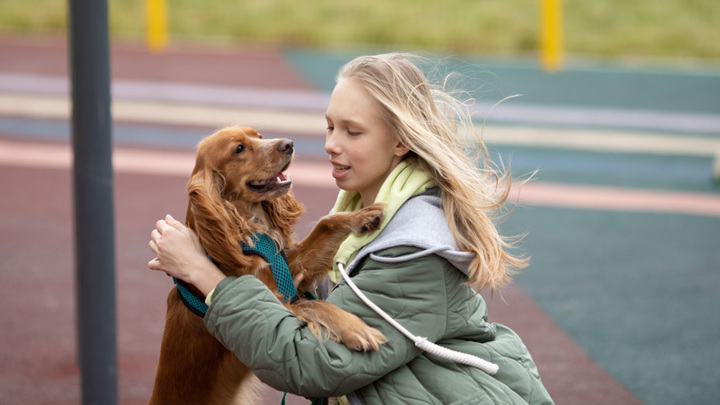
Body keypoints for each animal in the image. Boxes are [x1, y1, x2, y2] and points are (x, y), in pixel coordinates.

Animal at [149, 126, 388, 404]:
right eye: (239, 149)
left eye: (259, 136)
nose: (288, 144)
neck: (247, 227)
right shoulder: (270, 298)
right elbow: (311, 304)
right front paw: (355, 329)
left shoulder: (288, 268)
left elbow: (326, 223)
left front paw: (362, 216)